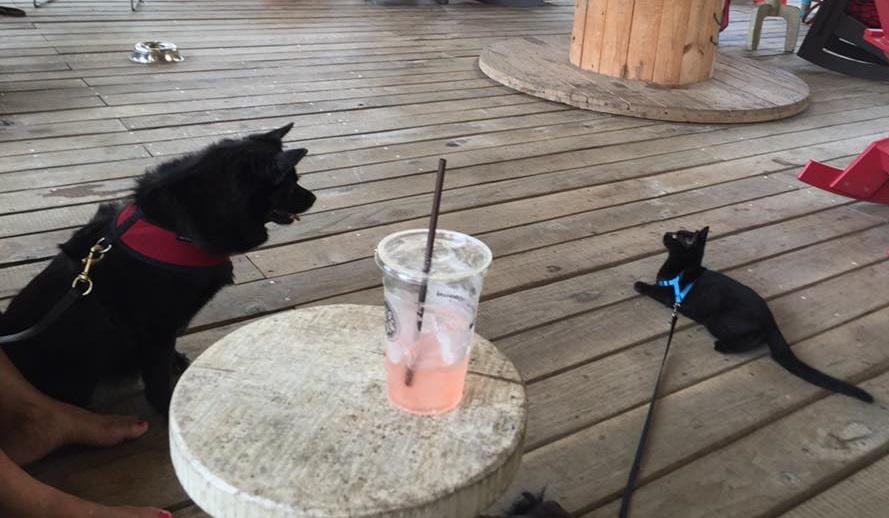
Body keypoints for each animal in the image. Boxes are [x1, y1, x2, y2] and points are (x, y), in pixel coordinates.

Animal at [0, 124, 316, 416]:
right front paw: (167, 409)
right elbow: (158, 381)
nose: (313, 197)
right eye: (290, 184)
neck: (176, 229)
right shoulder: (156, 330)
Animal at [636, 229, 872, 406]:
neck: (684, 268)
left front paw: (639, 284)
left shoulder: (670, 296)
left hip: (717, 320)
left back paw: (722, 346)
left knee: (755, 337)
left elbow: (653, 289)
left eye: (676, 236)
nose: (666, 233)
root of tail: (771, 320)